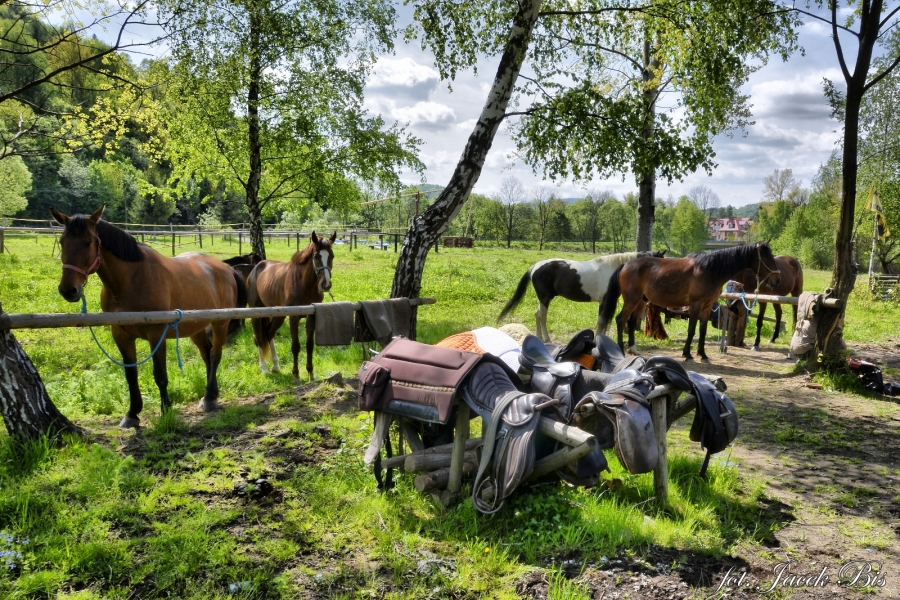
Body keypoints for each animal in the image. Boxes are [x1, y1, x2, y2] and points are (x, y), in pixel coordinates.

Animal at [52, 206, 250, 426]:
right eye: (62, 242)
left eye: (88, 242)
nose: (68, 290)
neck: (131, 280)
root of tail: (227, 269)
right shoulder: (121, 334)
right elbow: (130, 373)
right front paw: (132, 413)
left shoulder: (157, 334)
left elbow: (160, 374)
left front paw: (166, 410)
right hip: (195, 328)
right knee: (206, 354)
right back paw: (211, 394)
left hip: (220, 323)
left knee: (215, 355)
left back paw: (208, 398)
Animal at [248, 232, 336, 382]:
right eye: (316, 256)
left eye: (332, 256)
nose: (326, 285)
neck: (305, 285)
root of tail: (256, 268)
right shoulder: (293, 318)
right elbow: (295, 346)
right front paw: (295, 375)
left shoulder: (311, 317)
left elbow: (309, 345)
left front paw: (311, 373)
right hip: (257, 314)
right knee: (258, 337)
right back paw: (264, 368)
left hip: (277, 315)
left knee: (269, 334)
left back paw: (275, 366)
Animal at [496, 250, 664, 342]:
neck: (614, 269)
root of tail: (534, 267)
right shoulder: (605, 301)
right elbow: (602, 321)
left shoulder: (607, 301)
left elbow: (604, 321)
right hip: (545, 298)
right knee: (542, 317)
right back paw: (547, 338)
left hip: (543, 299)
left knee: (537, 314)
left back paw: (539, 338)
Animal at [596, 243, 780, 360]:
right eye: (767, 258)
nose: (776, 280)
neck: (709, 270)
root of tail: (626, 265)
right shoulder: (695, 306)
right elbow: (692, 330)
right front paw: (687, 354)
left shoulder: (707, 307)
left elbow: (702, 331)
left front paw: (702, 354)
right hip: (632, 300)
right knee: (621, 320)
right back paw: (620, 349)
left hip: (641, 302)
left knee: (632, 322)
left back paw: (633, 349)